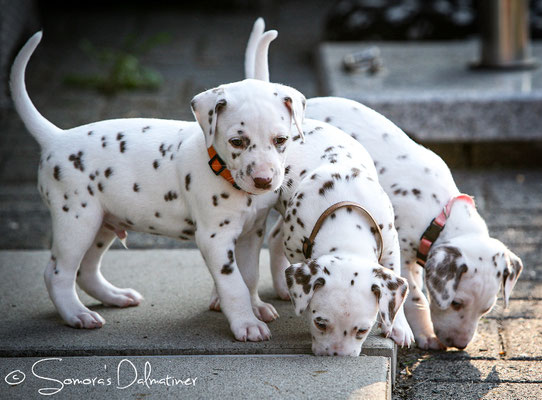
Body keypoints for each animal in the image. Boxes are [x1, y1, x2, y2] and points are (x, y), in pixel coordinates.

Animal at [10, 32, 308, 342]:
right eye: (237, 141)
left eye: (281, 139)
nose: (263, 180)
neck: (219, 166)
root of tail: (56, 137)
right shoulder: (215, 238)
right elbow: (234, 285)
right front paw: (246, 323)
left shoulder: (252, 233)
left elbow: (249, 276)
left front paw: (256, 307)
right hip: (77, 220)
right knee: (58, 273)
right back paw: (76, 314)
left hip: (102, 223)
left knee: (86, 270)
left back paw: (115, 296)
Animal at [249, 19, 524, 350]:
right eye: (456, 303)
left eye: (486, 309)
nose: (457, 345)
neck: (438, 210)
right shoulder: (402, 251)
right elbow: (415, 296)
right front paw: (423, 333)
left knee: (277, 236)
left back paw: (281, 286)